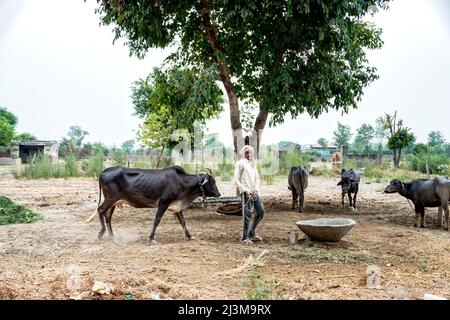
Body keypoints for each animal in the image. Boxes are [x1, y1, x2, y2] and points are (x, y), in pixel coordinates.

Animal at [87, 166, 221, 241]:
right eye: (212, 182)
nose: (219, 194)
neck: (181, 182)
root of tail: (106, 170)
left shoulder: (177, 207)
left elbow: (183, 222)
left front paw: (189, 236)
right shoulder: (163, 204)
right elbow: (157, 220)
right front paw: (151, 238)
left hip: (114, 202)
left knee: (108, 216)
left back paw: (112, 236)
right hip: (110, 199)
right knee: (100, 210)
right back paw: (101, 233)